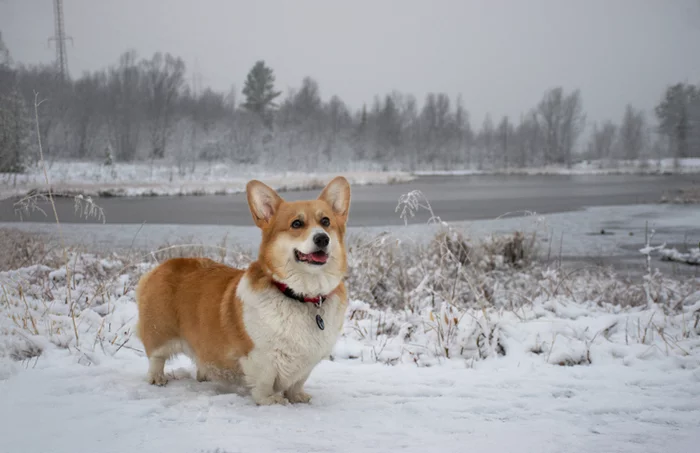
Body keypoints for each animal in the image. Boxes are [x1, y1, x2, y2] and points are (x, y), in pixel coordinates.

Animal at [135, 175, 352, 404]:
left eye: (326, 221)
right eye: (297, 223)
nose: (322, 238)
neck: (302, 295)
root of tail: (162, 266)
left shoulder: (306, 363)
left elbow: (297, 383)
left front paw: (298, 397)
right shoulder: (260, 357)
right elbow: (264, 383)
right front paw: (271, 401)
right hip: (159, 332)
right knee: (156, 358)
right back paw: (157, 378)